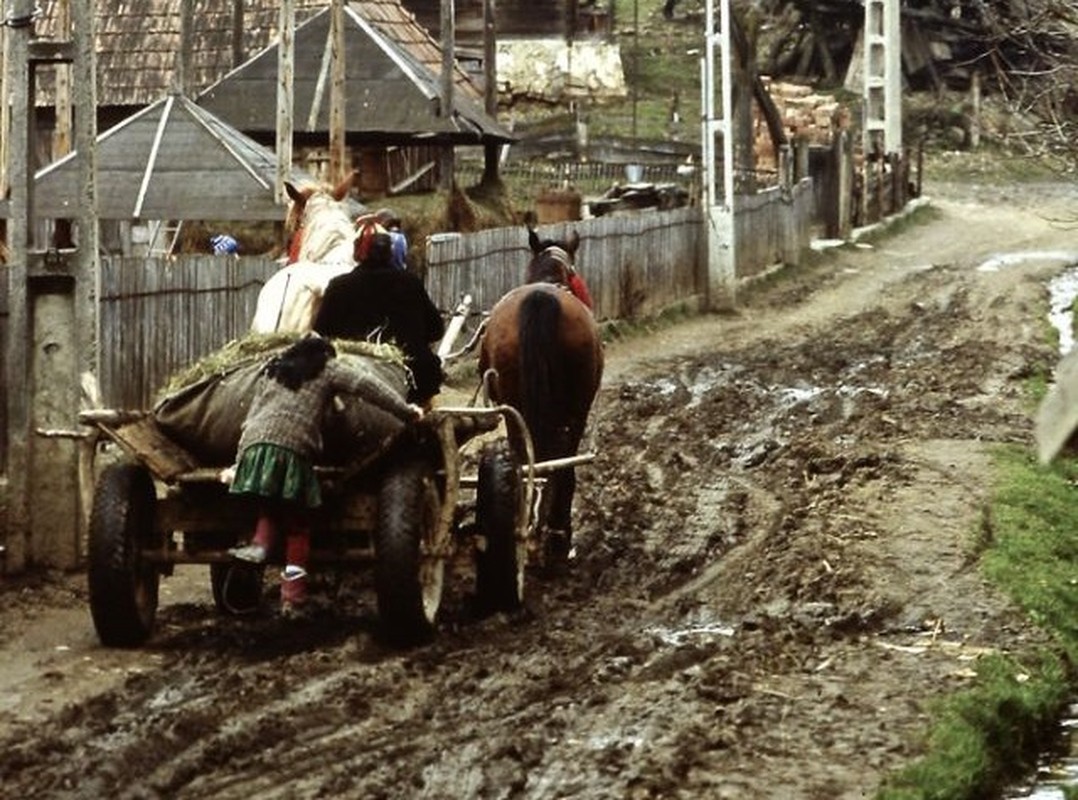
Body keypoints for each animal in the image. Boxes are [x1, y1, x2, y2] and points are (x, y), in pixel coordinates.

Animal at [480, 228, 607, 569]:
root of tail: (540, 298)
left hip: (515, 407)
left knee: (527, 462)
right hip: (573, 409)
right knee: (559, 465)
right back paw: (556, 537)